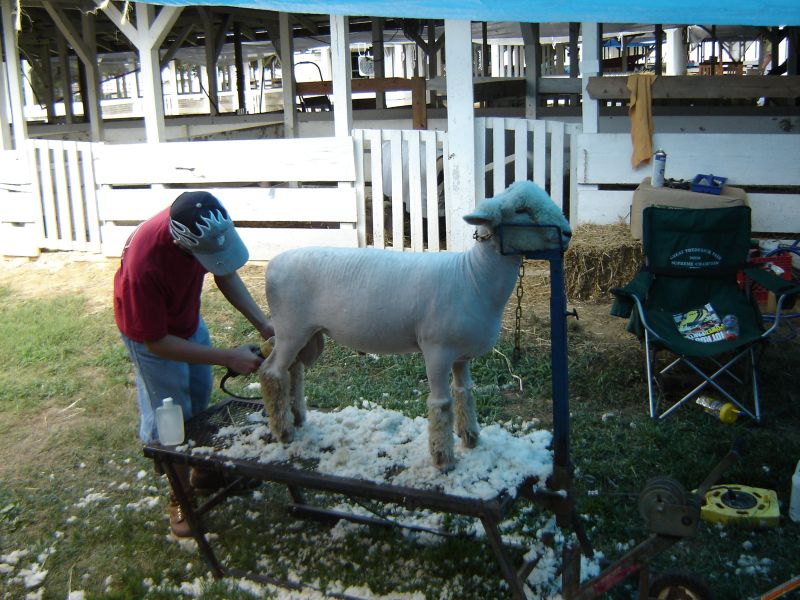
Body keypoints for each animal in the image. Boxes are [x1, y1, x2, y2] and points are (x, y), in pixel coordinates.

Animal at [256, 180, 568, 472]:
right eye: (521, 210)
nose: (566, 233)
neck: (473, 277)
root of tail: (273, 264)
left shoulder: (461, 355)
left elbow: (464, 393)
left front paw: (470, 438)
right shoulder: (437, 350)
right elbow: (442, 404)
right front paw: (443, 459)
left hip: (309, 334)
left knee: (293, 370)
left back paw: (297, 418)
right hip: (290, 329)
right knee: (272, 372)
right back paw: (283, 431)